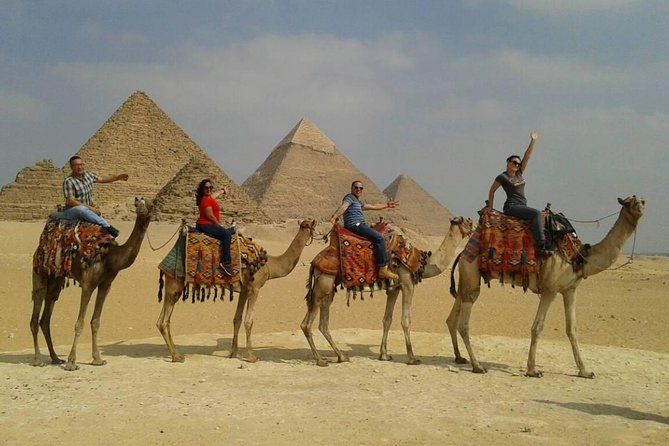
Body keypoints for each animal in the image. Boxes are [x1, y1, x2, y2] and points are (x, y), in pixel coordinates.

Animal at [30, 197, 153, 370]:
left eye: (151, 204)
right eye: (139, 203)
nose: (140, 205)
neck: (110, 257)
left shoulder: (106, 285)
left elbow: (95, 322)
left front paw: (97, 359)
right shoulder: (88, 284)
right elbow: (79, 323)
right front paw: (71, 362)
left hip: (55, 280)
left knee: (46, 316)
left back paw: (55, 357)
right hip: (40, 272)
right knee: (36, 311)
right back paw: (38, 359)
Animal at [156, 219, 316, 363]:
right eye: (310, 225)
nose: (316, 232)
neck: (270, 265)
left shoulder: (244, 290)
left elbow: (237, 319)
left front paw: (233, 353)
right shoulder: (254, 288)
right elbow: (249, 321)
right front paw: (251, 356)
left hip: (173, 286)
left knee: (164, 320)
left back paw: (177, 354)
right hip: (175, 283)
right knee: (163, 321)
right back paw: (176, 356)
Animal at [301, 217, 474, 366]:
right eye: (467, 221)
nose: (474, 228)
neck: (421, 263)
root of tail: (314, 262)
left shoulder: (394, 288)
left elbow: (387, 319)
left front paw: (384, 355)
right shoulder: (407, 283)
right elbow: (405, 320)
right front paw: (412, 358)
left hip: (329, 287)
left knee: (323, 323)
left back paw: (341, 356)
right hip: (324, 283)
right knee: (307, 323)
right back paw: (320, 360)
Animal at [447, 196, 645, 378]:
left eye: (641, 200)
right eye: (630, 202)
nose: (641, 206)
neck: (579, 257)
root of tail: (463, 252)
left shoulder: (570, 289)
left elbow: (572, 328)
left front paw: (585, 371)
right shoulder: (550, 289)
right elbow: (537, 327)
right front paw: (532, 370)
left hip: (466, 279)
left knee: (453, 316)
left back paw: (460, 357)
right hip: (471, 272)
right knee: (464, 322)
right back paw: (477, 366)